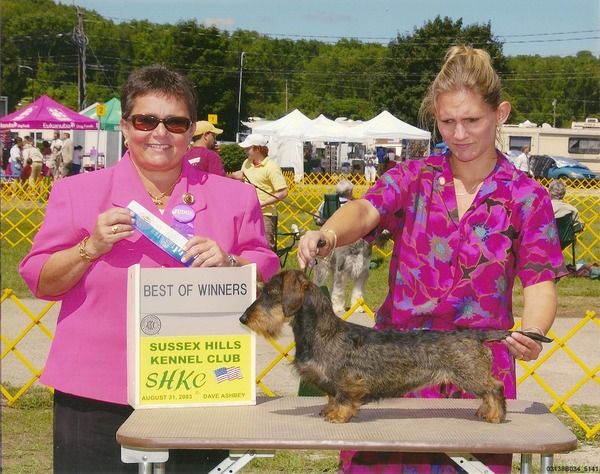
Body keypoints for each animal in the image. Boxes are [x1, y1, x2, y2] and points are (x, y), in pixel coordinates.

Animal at [240, 270, 552, 424]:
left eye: (269, 293)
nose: (243, 318)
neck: (322, 332)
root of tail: (474, 335)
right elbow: (331, 397)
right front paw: (329, 410)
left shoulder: (349, 383)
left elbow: (344, 399)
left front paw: (338, 415)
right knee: (489, 392)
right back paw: (485, 412)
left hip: (470, 375)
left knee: (495, 388)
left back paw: (496, 415)